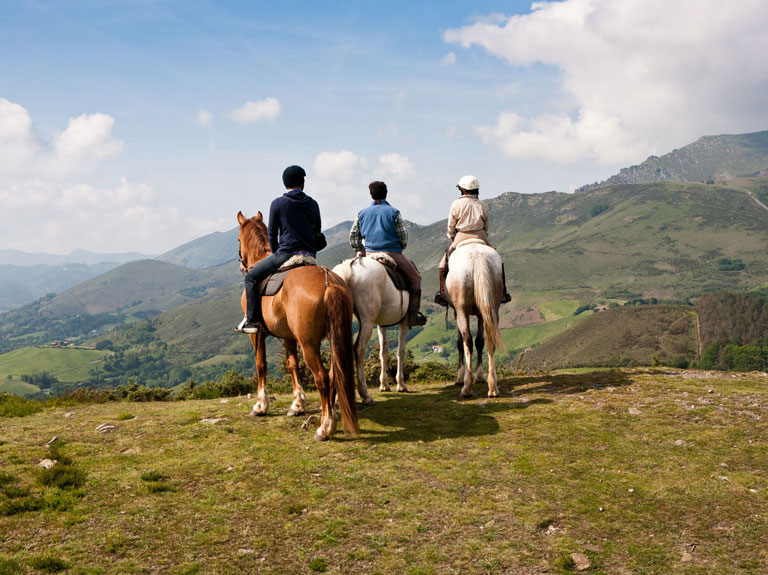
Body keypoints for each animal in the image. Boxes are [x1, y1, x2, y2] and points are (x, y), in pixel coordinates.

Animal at [237, 212, 360, 440]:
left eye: (238, 239)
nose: (241, 264)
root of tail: (329, 282)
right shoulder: (288, 336)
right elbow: (292, 364)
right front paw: (298, 404)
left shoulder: (256, 335)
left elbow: (260, 365)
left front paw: (260, 405)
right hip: (334, 338)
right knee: (333, 376)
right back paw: (330, 417)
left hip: (309, 343)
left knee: (322, 378)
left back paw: (325, 427)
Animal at [332, 256, 412, 404]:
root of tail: (350, 267)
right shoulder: (404, 323)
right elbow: (400, 351)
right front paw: (401, 384)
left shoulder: (381, 325)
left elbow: (383, 353)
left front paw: (384, 384)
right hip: (367, 321)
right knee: (359, 349)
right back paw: (365, 394)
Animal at [444, 241, 504, 398]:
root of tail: (477, 256)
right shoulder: (481, 314)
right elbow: (480, 342)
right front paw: (480, 376)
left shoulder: (456, 312)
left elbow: (460, 343)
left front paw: (459, 378)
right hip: (492, 307)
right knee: (490, 339)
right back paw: (493, 387)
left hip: (461, 310)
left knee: (467, 340)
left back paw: (466, 387)